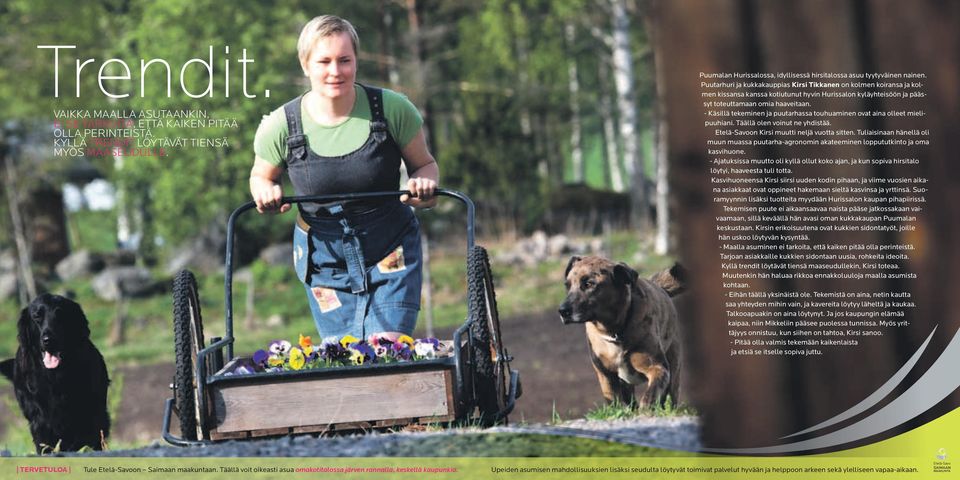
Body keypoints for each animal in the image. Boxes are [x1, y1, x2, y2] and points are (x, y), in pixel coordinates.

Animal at [0, 292, 109, 454]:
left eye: (60, 315)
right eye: (36, 316)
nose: (48, 340)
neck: (54, 376)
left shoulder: (88, 414)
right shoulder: (39, 420)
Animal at [560, 256, 688, 406]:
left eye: (589, 284)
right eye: (567, 285)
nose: (562, 311)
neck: (614, 331)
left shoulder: (658, 368)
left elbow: (650, 395)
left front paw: (646, 407)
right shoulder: (606, 376)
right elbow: (615, 402)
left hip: (674, 369)